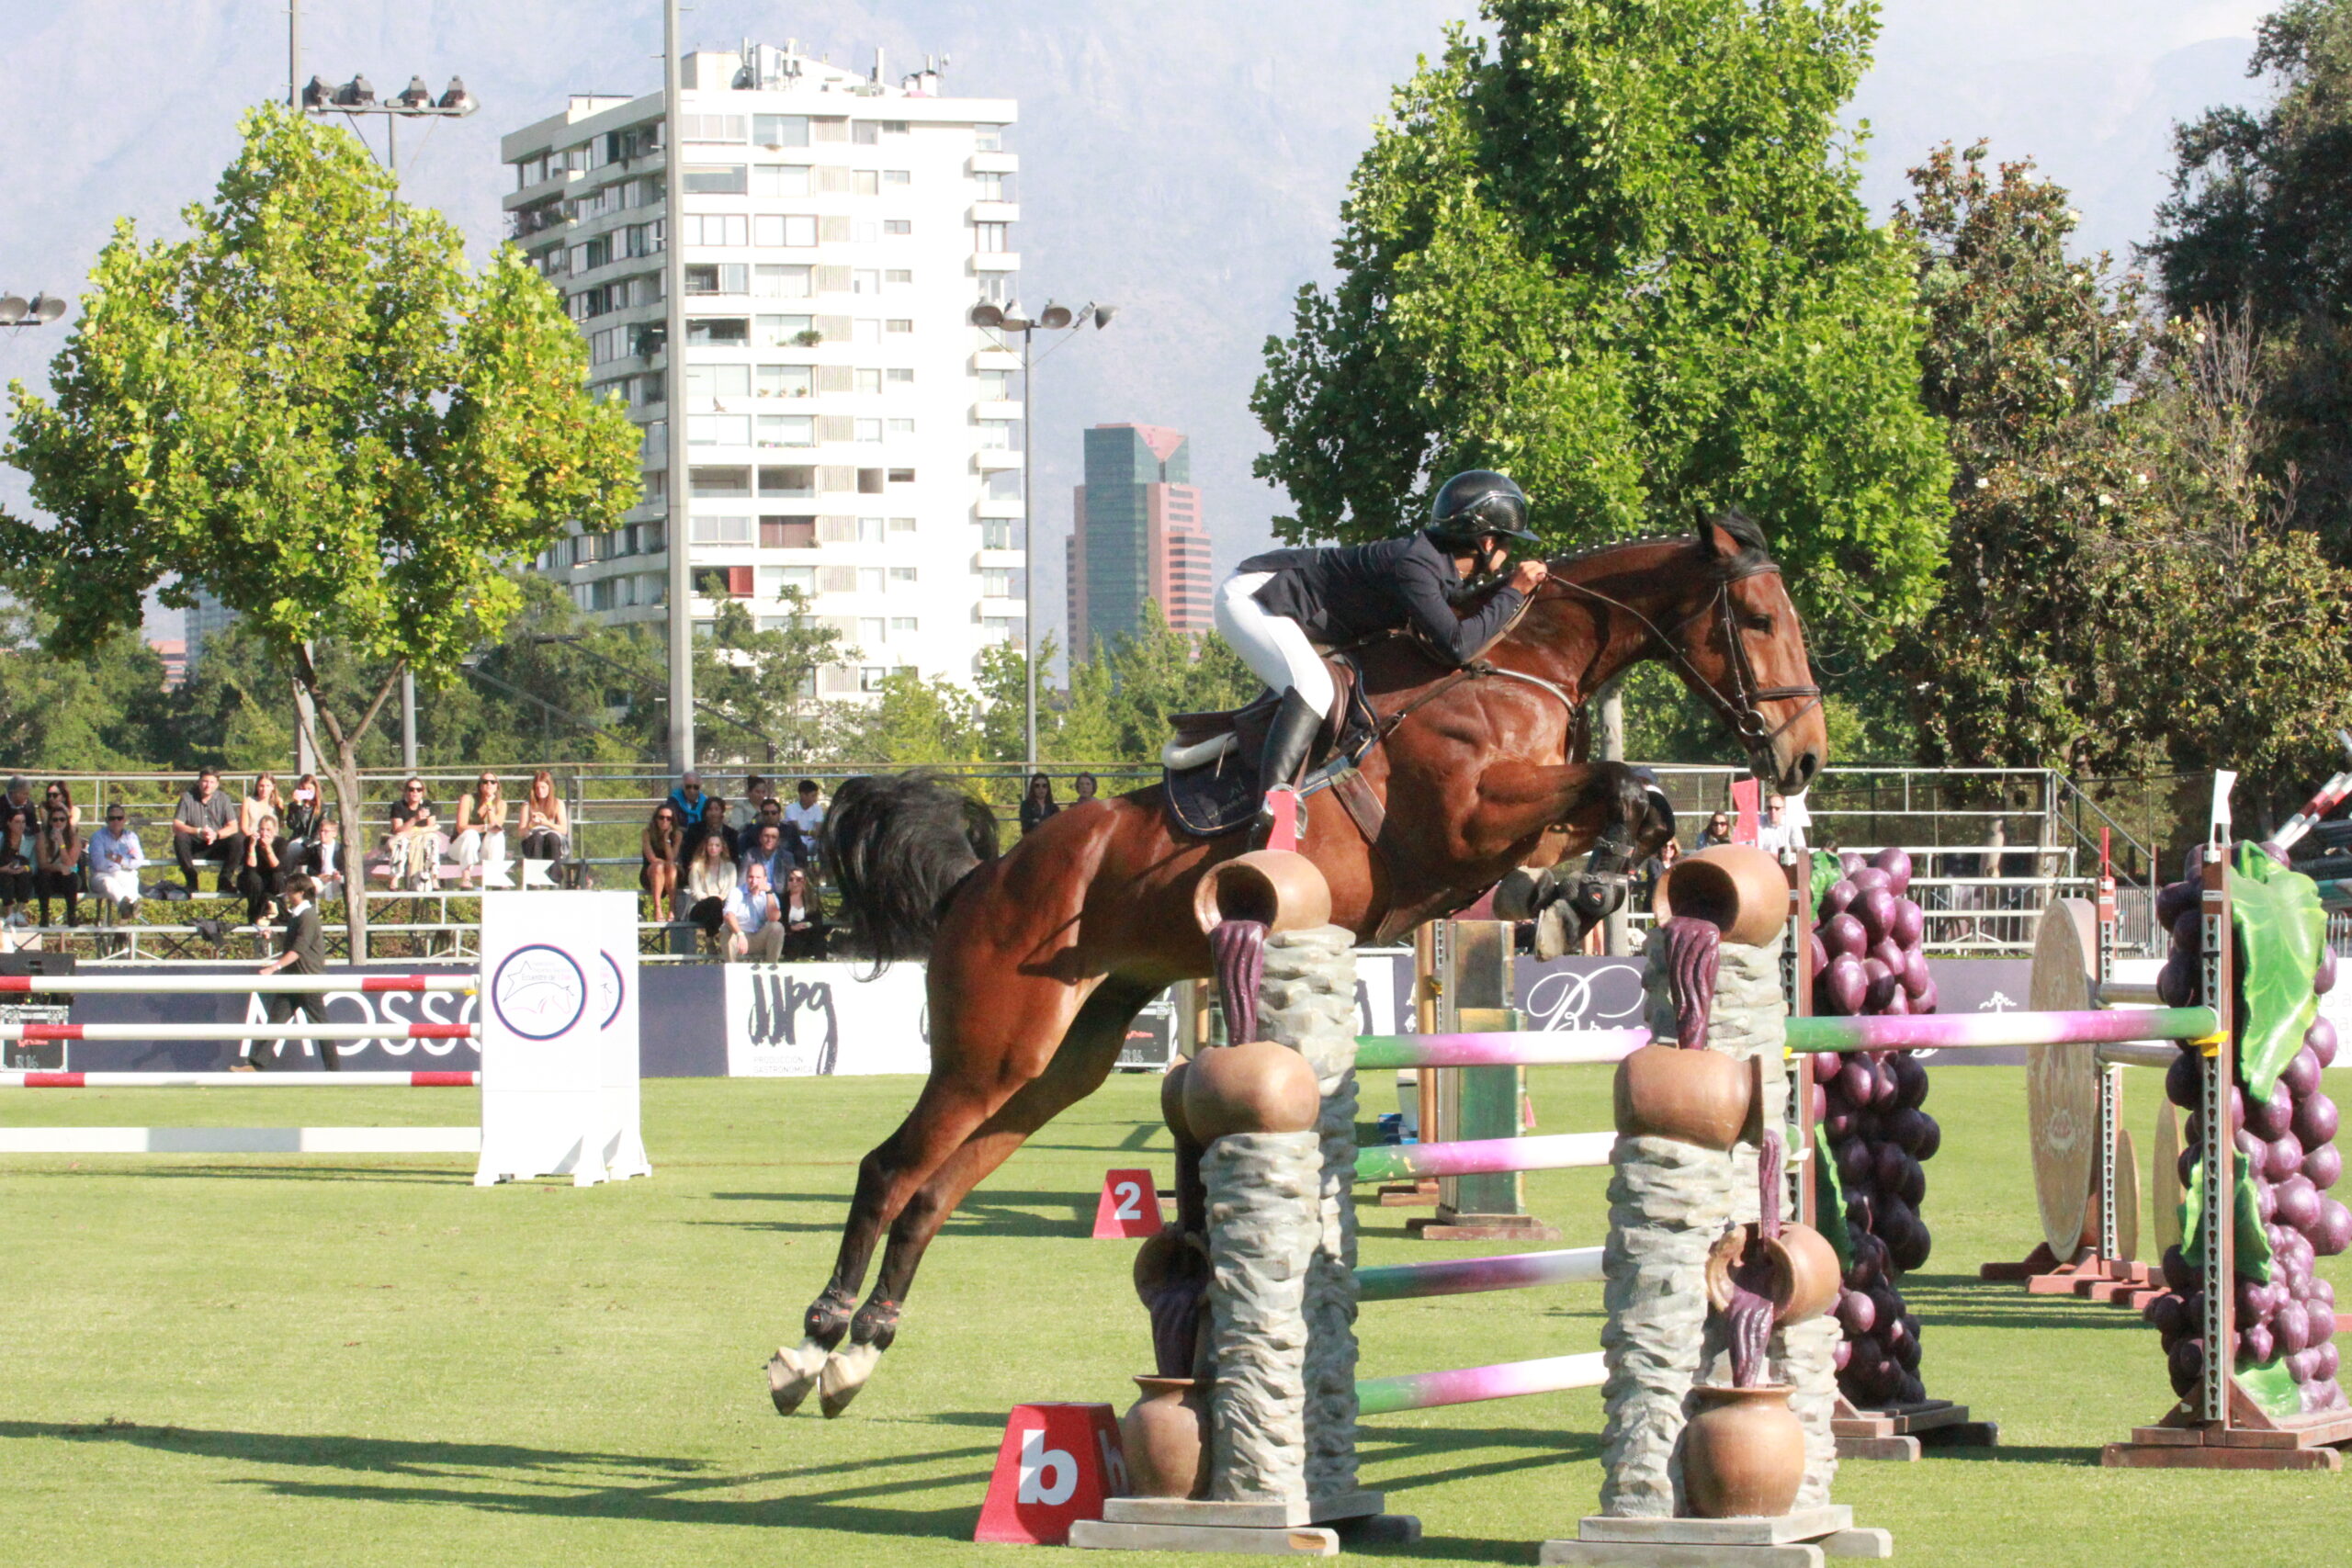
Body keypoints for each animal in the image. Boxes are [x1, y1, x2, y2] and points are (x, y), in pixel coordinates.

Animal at [770, 509, 1828, 1417]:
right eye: (1759, 618)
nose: (1806, 759)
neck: (1512, 663)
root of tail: (980, 881)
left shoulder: (1507, 832)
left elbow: (1625, 809)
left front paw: (1581, 896)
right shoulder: (1468, 816)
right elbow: (1625, 783)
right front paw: (1589, 890)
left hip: (1062, 1059)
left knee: (935, 1190)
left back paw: (861, 1353)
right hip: (993, 1046)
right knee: (889, 1169)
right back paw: (812, 1343)